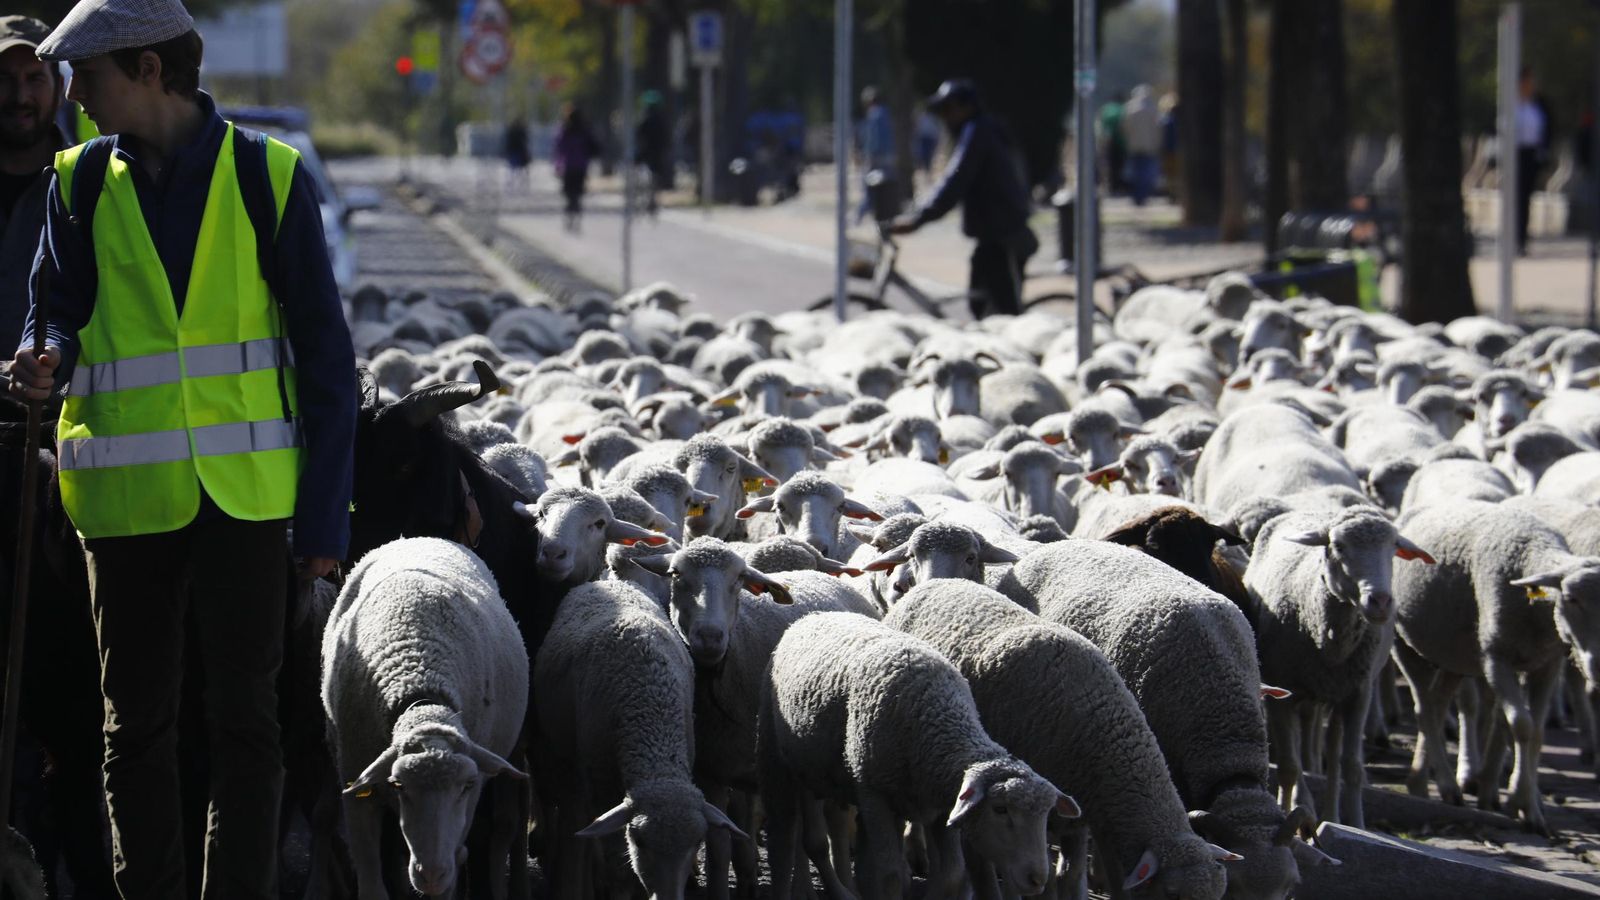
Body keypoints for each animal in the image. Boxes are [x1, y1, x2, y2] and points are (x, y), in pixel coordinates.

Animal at [322, 538, 529, 900]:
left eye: (467, 785)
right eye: (398, 784)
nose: (430, 874)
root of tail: (420, 537)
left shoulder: (471, 795)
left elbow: (455, 857)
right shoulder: (352, 777)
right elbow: (370, 878)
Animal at [759, 612, 1076, 900]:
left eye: (1047, 815)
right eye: (1000, 809)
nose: (1037, 879)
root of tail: (810, 616)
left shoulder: (942, 806)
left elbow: (951, 874)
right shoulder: (874, 794)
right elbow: (889, 874)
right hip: (782, 762)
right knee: (791, 840)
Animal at [885, 579, 1232, 900]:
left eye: (1219, 892)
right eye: (1172, 893)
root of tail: (933, 582)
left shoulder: (1081, 819)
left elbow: (1074, 875)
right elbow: (1029, 877)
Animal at [1245, 506, 1434, 829]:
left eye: (1393, 548)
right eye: (1339, 546)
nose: (1380, 601)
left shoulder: (1359, 693)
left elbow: (1351, 766)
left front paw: (1356, 824)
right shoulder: (1280, 693)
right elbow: (1289, 766)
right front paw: (1287, 812)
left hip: (1336, 695)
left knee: (1332, 756)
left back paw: (1331, 816)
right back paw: (1305, 805)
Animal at [1390, 501, 1600, 836]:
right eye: (1571, 598)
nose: (1598, 664)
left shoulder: (1546, 665)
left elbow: (1534, 731)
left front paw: (1522, 802)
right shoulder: (1495, 657)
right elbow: (1520, 725)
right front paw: (1523, 804)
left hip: (1454, 655)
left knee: (1437, 703)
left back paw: (1424, 782)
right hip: (1404, 644)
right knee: (1424, 709)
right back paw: (1440, 785)